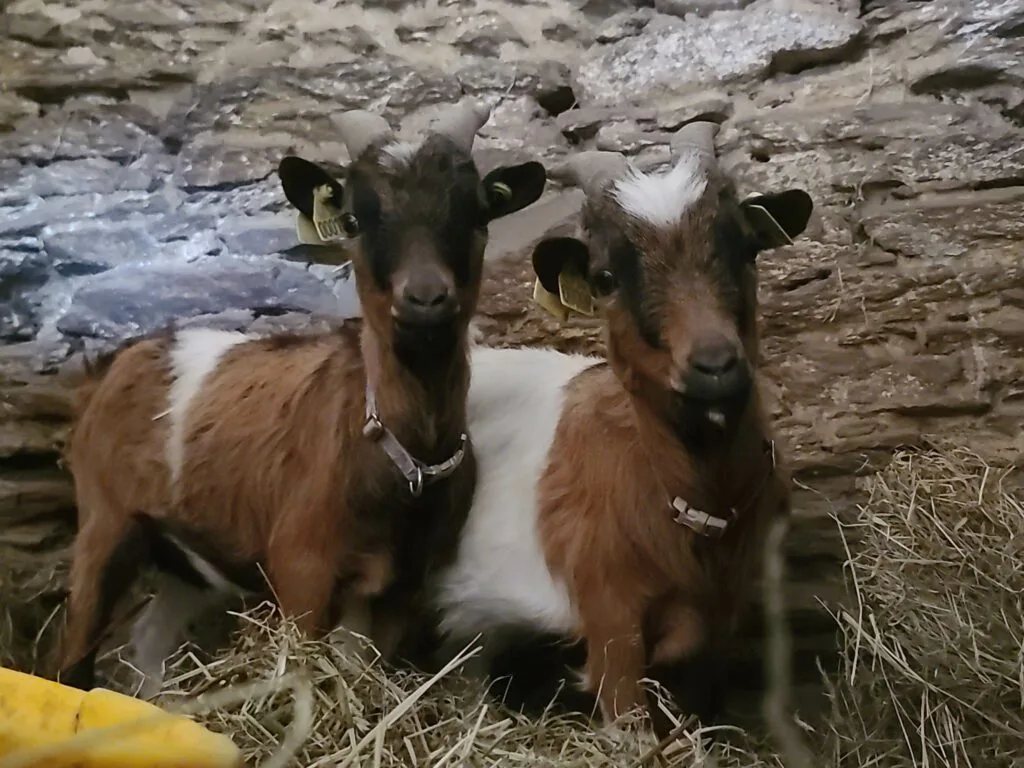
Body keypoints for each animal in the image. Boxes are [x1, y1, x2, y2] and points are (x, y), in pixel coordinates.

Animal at [56, 99, 548, 697]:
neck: (402, 456)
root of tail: (109, 371)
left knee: (150, 637)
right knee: (76, 650)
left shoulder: (402, 585)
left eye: (478, 215)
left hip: (186, 560)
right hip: (104, 522)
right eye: (356, 221)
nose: (426, 297)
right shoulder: (302, 571)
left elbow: (361, 668)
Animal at [432, 121, 813, 736]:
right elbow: (628, 718)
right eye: (606, 277)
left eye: (746, 248)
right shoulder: (611, 619)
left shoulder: (720, 622)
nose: (715, 363)